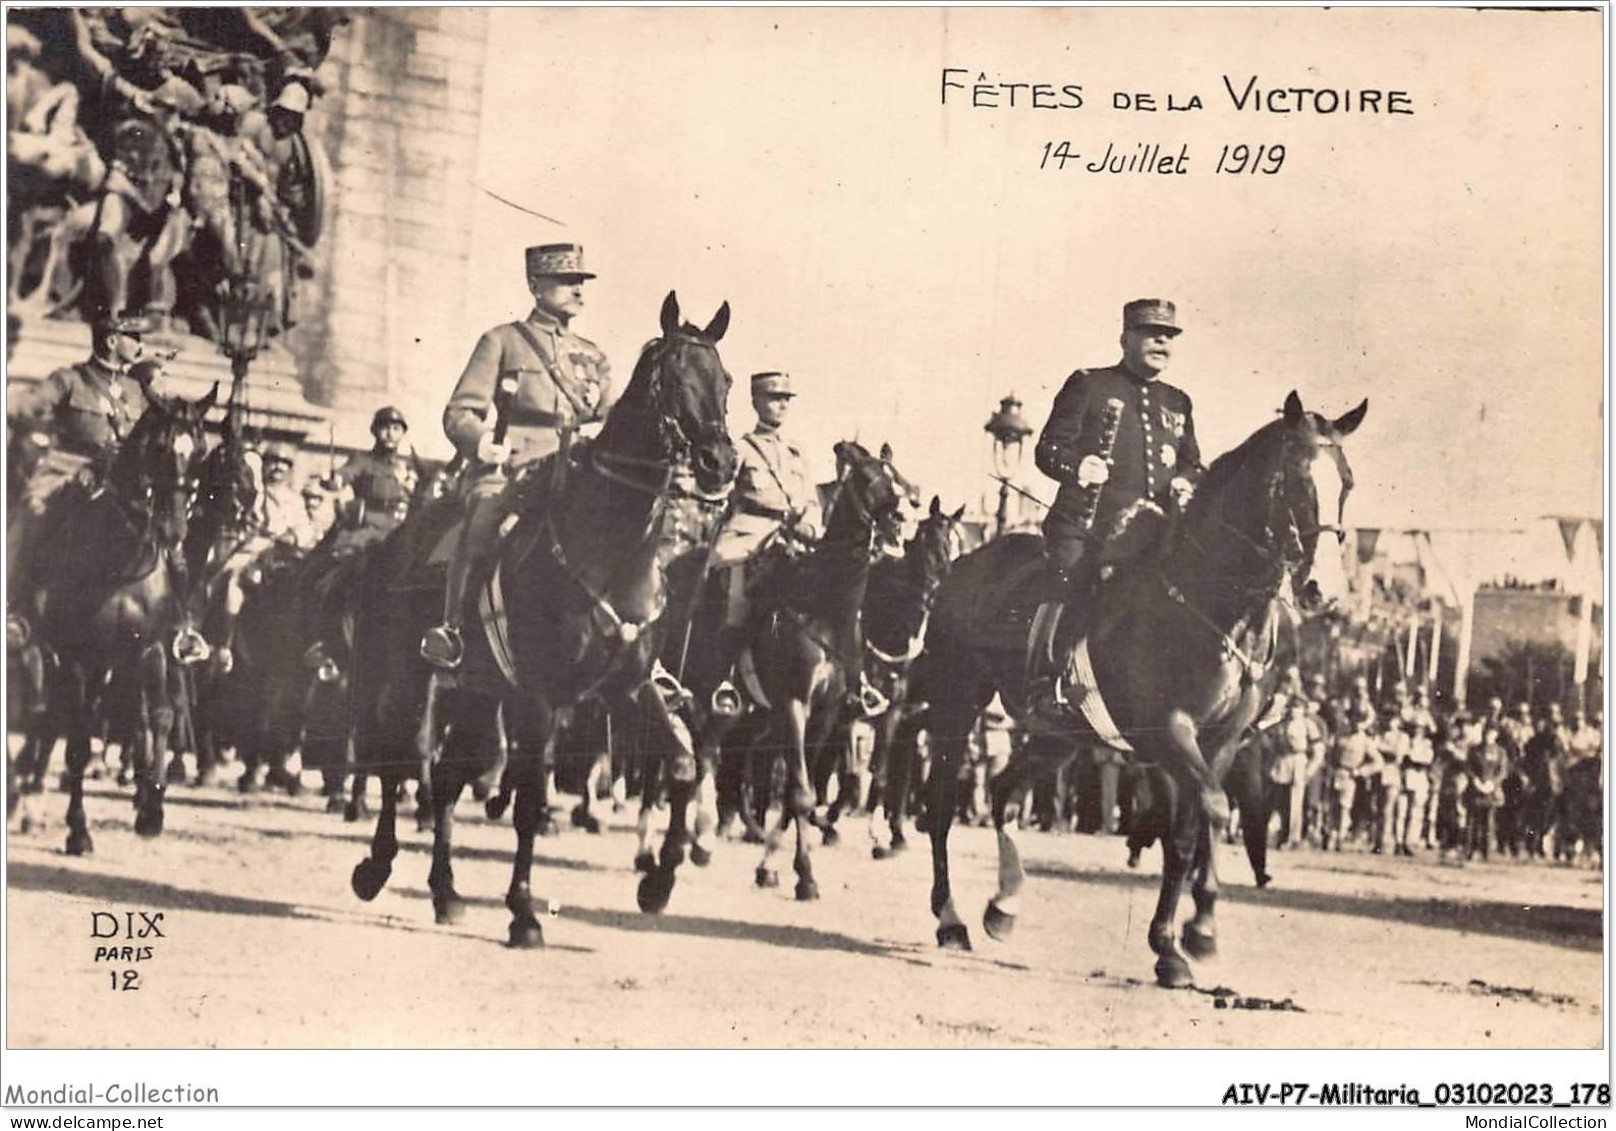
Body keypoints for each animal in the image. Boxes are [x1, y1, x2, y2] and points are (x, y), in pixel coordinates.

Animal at [350, 290, 740, 943]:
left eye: (726, 380)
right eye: (673, 377)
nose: (721, 462)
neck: (608, 546)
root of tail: (402, 535)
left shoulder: (627, 688)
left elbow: (683, 764)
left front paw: (658, 881)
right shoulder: (539, 697)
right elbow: (531, 799)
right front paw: (524, 913)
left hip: (478, 693)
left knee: (448, 776)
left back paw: (446, 892)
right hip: (406, 677)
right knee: (400, 757)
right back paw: (375, 867)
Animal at [911, 392, 1363, 982]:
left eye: (1347, 482)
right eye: (1294, 479)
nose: (1322, 590)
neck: (1209, 603)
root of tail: (965, 564)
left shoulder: (1220, 742)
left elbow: (1191, 831)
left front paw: (1187, 936)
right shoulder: (1168, 733)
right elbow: (1209, 814)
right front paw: (1181, 937)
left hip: (1062, 735)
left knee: (1005, 790)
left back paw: (1004, 904)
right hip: (957, 702)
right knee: (942, 803)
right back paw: (951, 920)